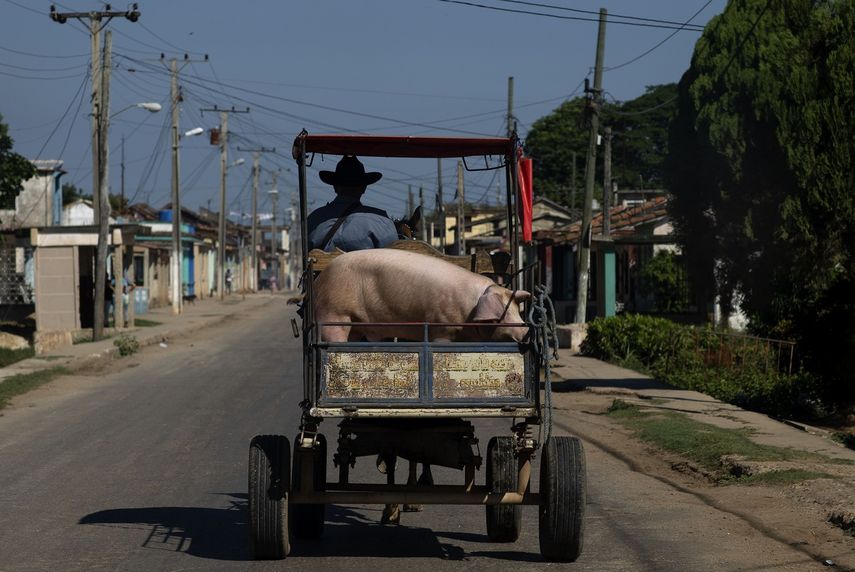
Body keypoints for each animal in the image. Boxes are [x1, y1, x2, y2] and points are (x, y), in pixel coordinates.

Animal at [312, 248, 530, 343]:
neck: (471, 309)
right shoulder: (440, 327)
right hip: (334, 313)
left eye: (517, 311)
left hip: (357, 325)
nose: (527, 330)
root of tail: (320, 278)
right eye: (503, 314)